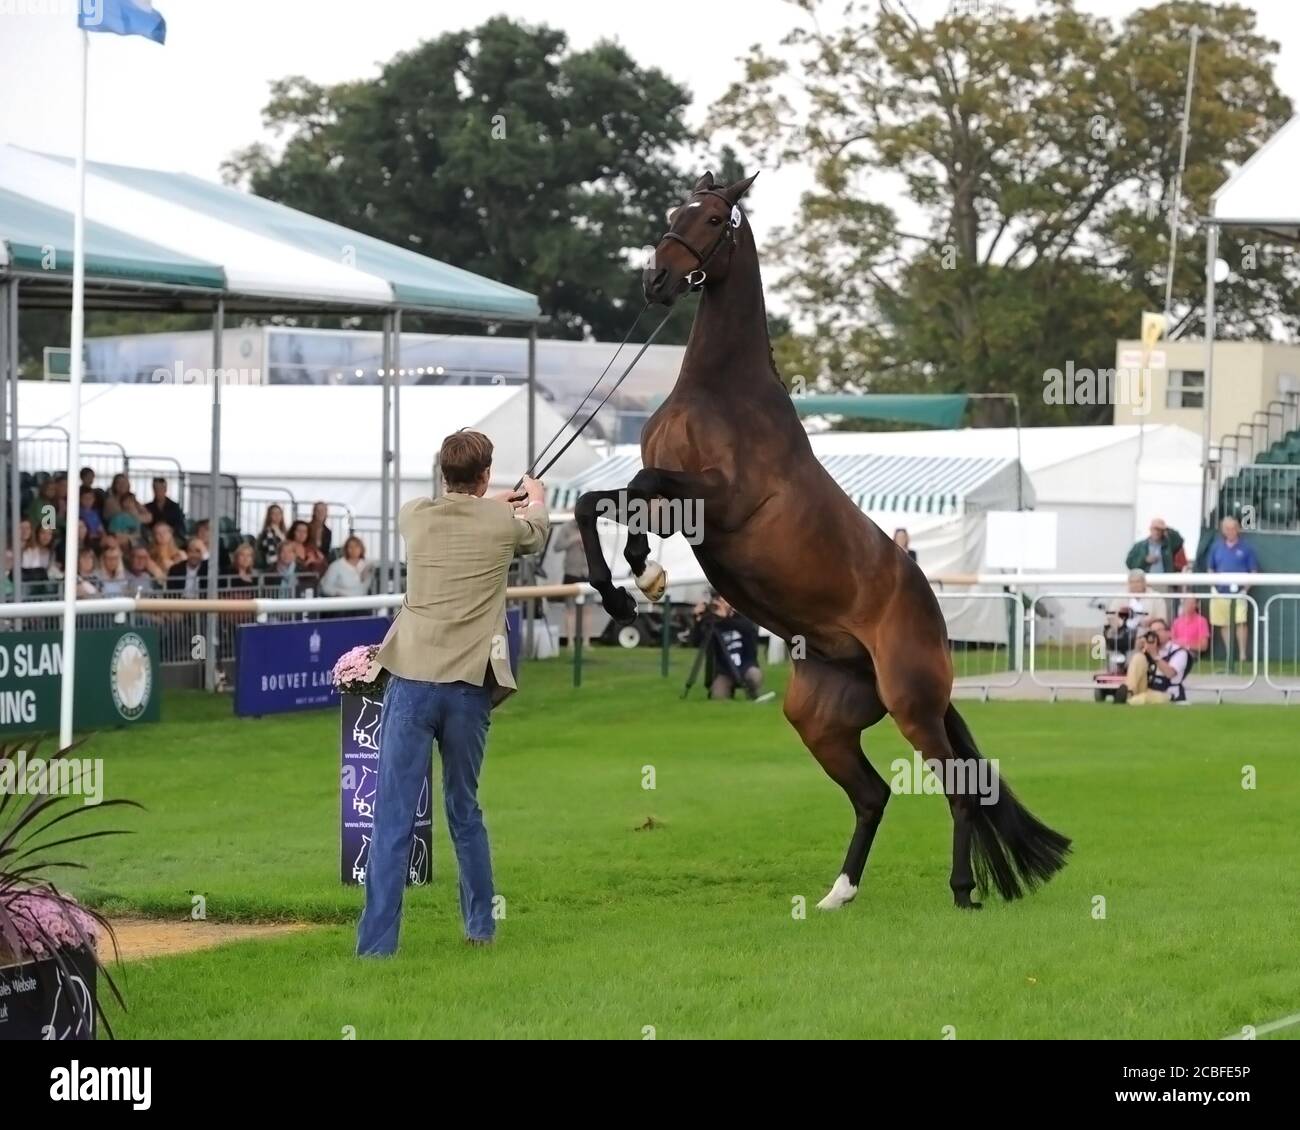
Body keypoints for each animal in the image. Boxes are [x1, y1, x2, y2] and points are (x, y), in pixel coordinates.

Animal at [577, 174, 1066, 910]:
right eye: (674, 212)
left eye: (714, 218)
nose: (657, 280)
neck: (722, 390)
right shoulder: (674, 506)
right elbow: (601, 499)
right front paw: (627, 584)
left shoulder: (719, 500)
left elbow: (637, 482)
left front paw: (632, 580)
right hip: (820, 718)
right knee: (872, 795)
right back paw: (840, 893)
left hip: (913, 705)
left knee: (957, 790)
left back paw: (960, 891)